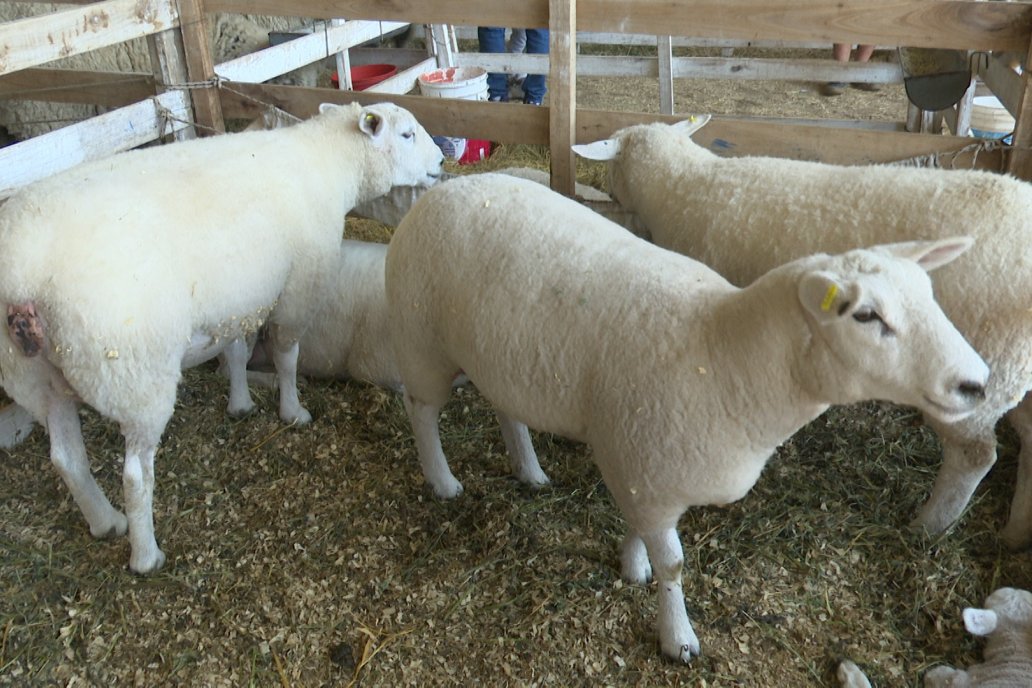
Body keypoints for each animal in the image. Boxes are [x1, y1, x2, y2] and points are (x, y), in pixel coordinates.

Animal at [0, 101, 443, 577]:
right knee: (136, 474)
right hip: (134, 371)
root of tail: (23, 275)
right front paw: (293, 411)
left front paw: (241, 402)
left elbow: (234, 351)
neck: (326, 160)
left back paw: (106, 522)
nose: (441, 162)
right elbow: (286, 356)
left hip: (34, 378)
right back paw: (145, 554)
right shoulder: (298, 286)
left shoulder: (238, 295)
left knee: (66, 458)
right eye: (406, 135)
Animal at [385, 175, 990, 664]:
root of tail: (445, 188)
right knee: (421, 411)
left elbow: (639, 532)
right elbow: (674, 565)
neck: (724, 355)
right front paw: (677, 637)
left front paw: (632, 566)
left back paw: (528, 471)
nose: (977, 382)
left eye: (930, 294)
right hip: (421, 342)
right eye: (866, 316)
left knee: (506, 409)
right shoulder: (647, 468)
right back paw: (442, 481)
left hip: (500, 355)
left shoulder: (640, 464)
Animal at [573, 117, 1032, 548]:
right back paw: (1014, 532)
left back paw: (929, 525)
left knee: (974, 456)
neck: (682, 186)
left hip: (989, 370)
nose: (611, 195)